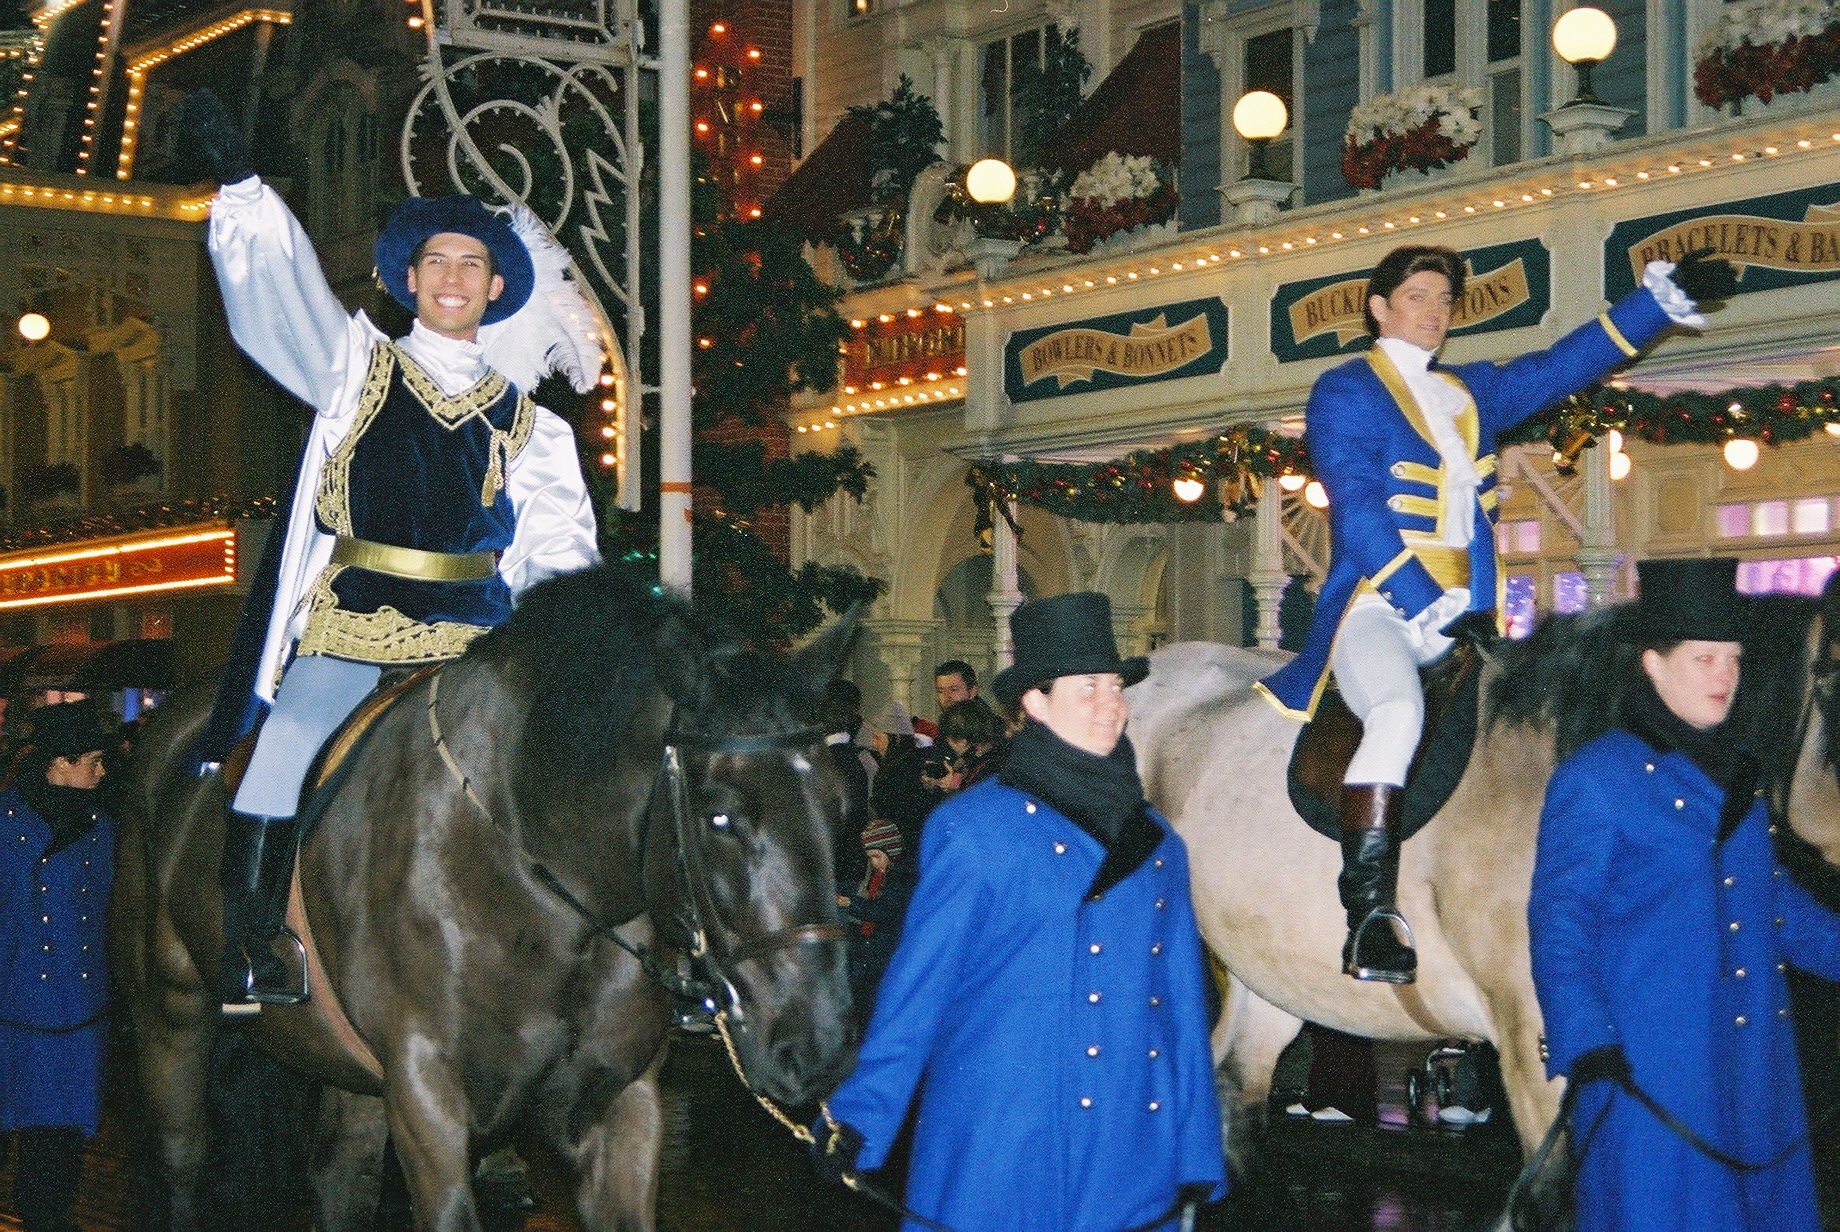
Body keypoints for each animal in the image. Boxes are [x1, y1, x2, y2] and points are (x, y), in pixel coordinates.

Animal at [111, 570, 857, 1232]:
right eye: (721, 817)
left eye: (840, 801)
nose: (817, 1046)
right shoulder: (426, 1094)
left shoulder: (621, 1104)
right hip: (170, 1010)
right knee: (184, 1161)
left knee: (339, 1178)